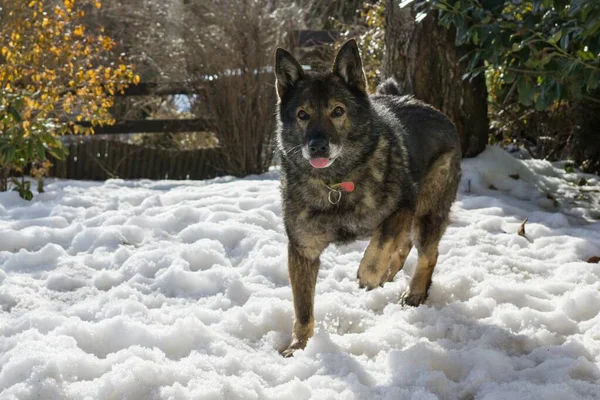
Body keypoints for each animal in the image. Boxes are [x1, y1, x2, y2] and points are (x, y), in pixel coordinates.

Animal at [274, 39, 462, 356]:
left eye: (338, 111)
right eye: (302, 115)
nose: (318, 146)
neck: (336, 183)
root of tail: (430, 107)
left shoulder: (404, 206)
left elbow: (381, 242)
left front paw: (369, 274)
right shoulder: (302, 251)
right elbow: (303, 309)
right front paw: (299, 347)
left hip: (426, 213)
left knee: (427, 253)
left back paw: (414, 292)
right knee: (405, 244)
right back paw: (393, 275)